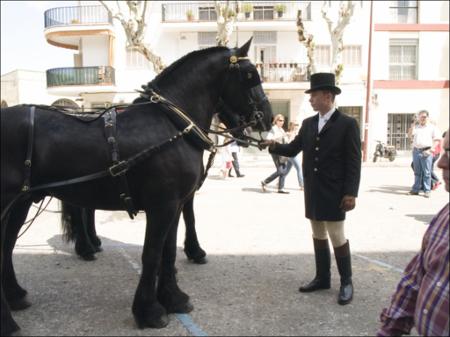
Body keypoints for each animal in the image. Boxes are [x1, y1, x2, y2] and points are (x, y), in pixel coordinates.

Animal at [1, 39, 272, 334]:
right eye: (250, 75)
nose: (268, 119)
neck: (171, 124)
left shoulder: (174, 205)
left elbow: (167, 252)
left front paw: (173, 297)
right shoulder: (163, 206)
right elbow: (152, 254)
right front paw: (149, 311)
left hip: (20, 204)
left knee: (7, 245)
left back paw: (16, 295)